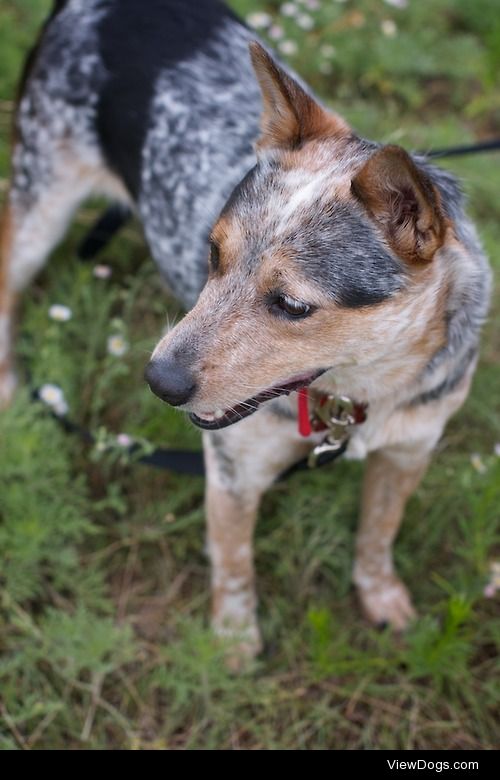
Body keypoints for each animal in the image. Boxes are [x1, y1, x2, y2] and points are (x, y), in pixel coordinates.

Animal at [0, 0, 492, 668]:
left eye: (291, 304)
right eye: (212, 254)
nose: (158, 382)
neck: (359, 394)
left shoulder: (410, 448)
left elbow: (378, 534)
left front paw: (383, 599)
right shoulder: (235, 467)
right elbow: (234, 564)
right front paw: (233, 646)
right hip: (40, 201)